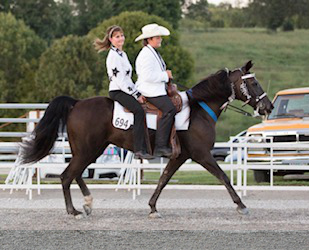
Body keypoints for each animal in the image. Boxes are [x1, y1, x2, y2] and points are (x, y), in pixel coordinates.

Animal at [21, 60, 272, 217]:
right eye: (253, 83)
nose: (267, 106)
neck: (199, 109)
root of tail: (76, 103)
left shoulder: (180, 156)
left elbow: (163, 179)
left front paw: (152, 207)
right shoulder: (201, 155)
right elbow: (223, 177)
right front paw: (241, 205)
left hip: (90, 150)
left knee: (75, 174)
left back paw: (87, 203)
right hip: (87, 150)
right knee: (66, 176)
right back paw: (73, 211)